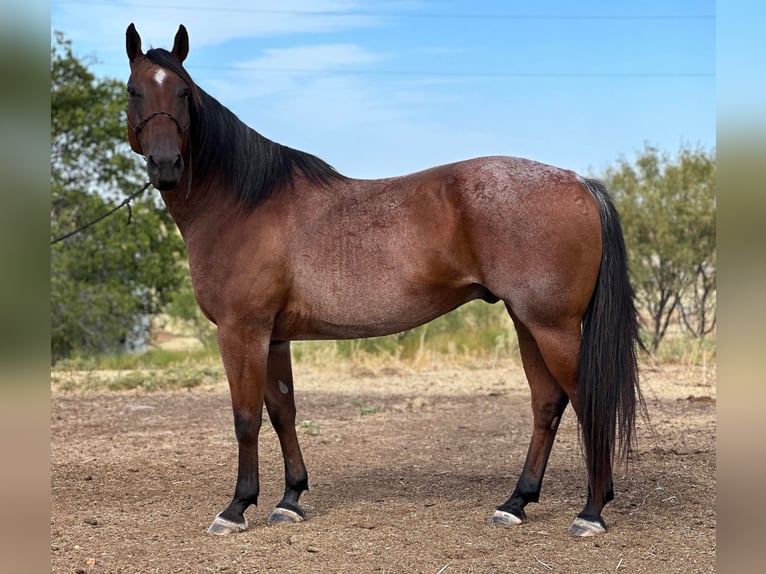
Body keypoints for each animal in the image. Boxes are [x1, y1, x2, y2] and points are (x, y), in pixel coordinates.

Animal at [126, 23, 648, 540]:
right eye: (135, 90)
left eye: (184, 92)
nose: (166, 165)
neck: (245, 203)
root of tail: (579, 182)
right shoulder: (273, 338)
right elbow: (282, 413)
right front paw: (290, 498)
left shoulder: (242, 331)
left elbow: (246, 418)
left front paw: (236, 507)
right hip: (528, 323)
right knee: (548, 403)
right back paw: (516, 502)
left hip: (552, 326)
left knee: (587, 402)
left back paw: (591, 511)